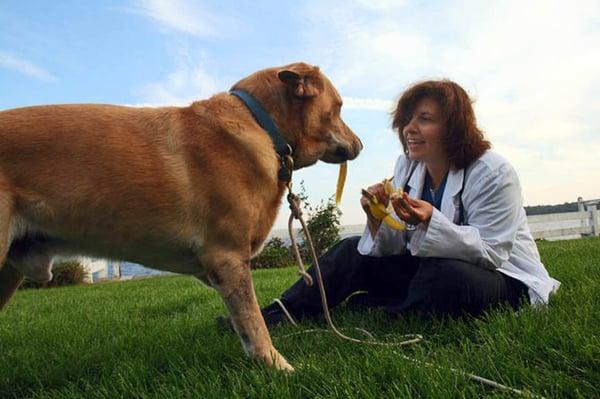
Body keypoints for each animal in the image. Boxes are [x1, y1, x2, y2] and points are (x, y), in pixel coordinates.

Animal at [0, 61, 360, 372]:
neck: (260, 124)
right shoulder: (228, 257)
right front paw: (278, 367)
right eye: (340, 107)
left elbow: (245, 326)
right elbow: (254, 323)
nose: (361, 144)